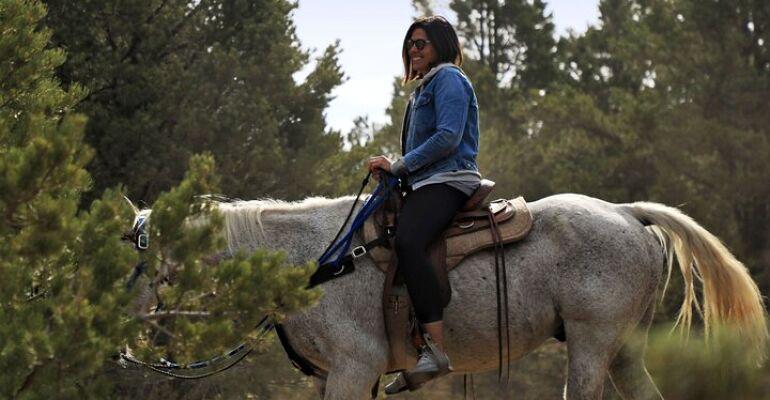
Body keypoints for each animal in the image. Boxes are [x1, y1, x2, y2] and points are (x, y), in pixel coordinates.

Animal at [132, 192, 767, 399]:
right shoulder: (341, 377)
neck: (317, 262)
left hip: (592, 346)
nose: (138, 334)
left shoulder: (352, 370)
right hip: (624, 351)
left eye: (143, 253)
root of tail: (625, 212)